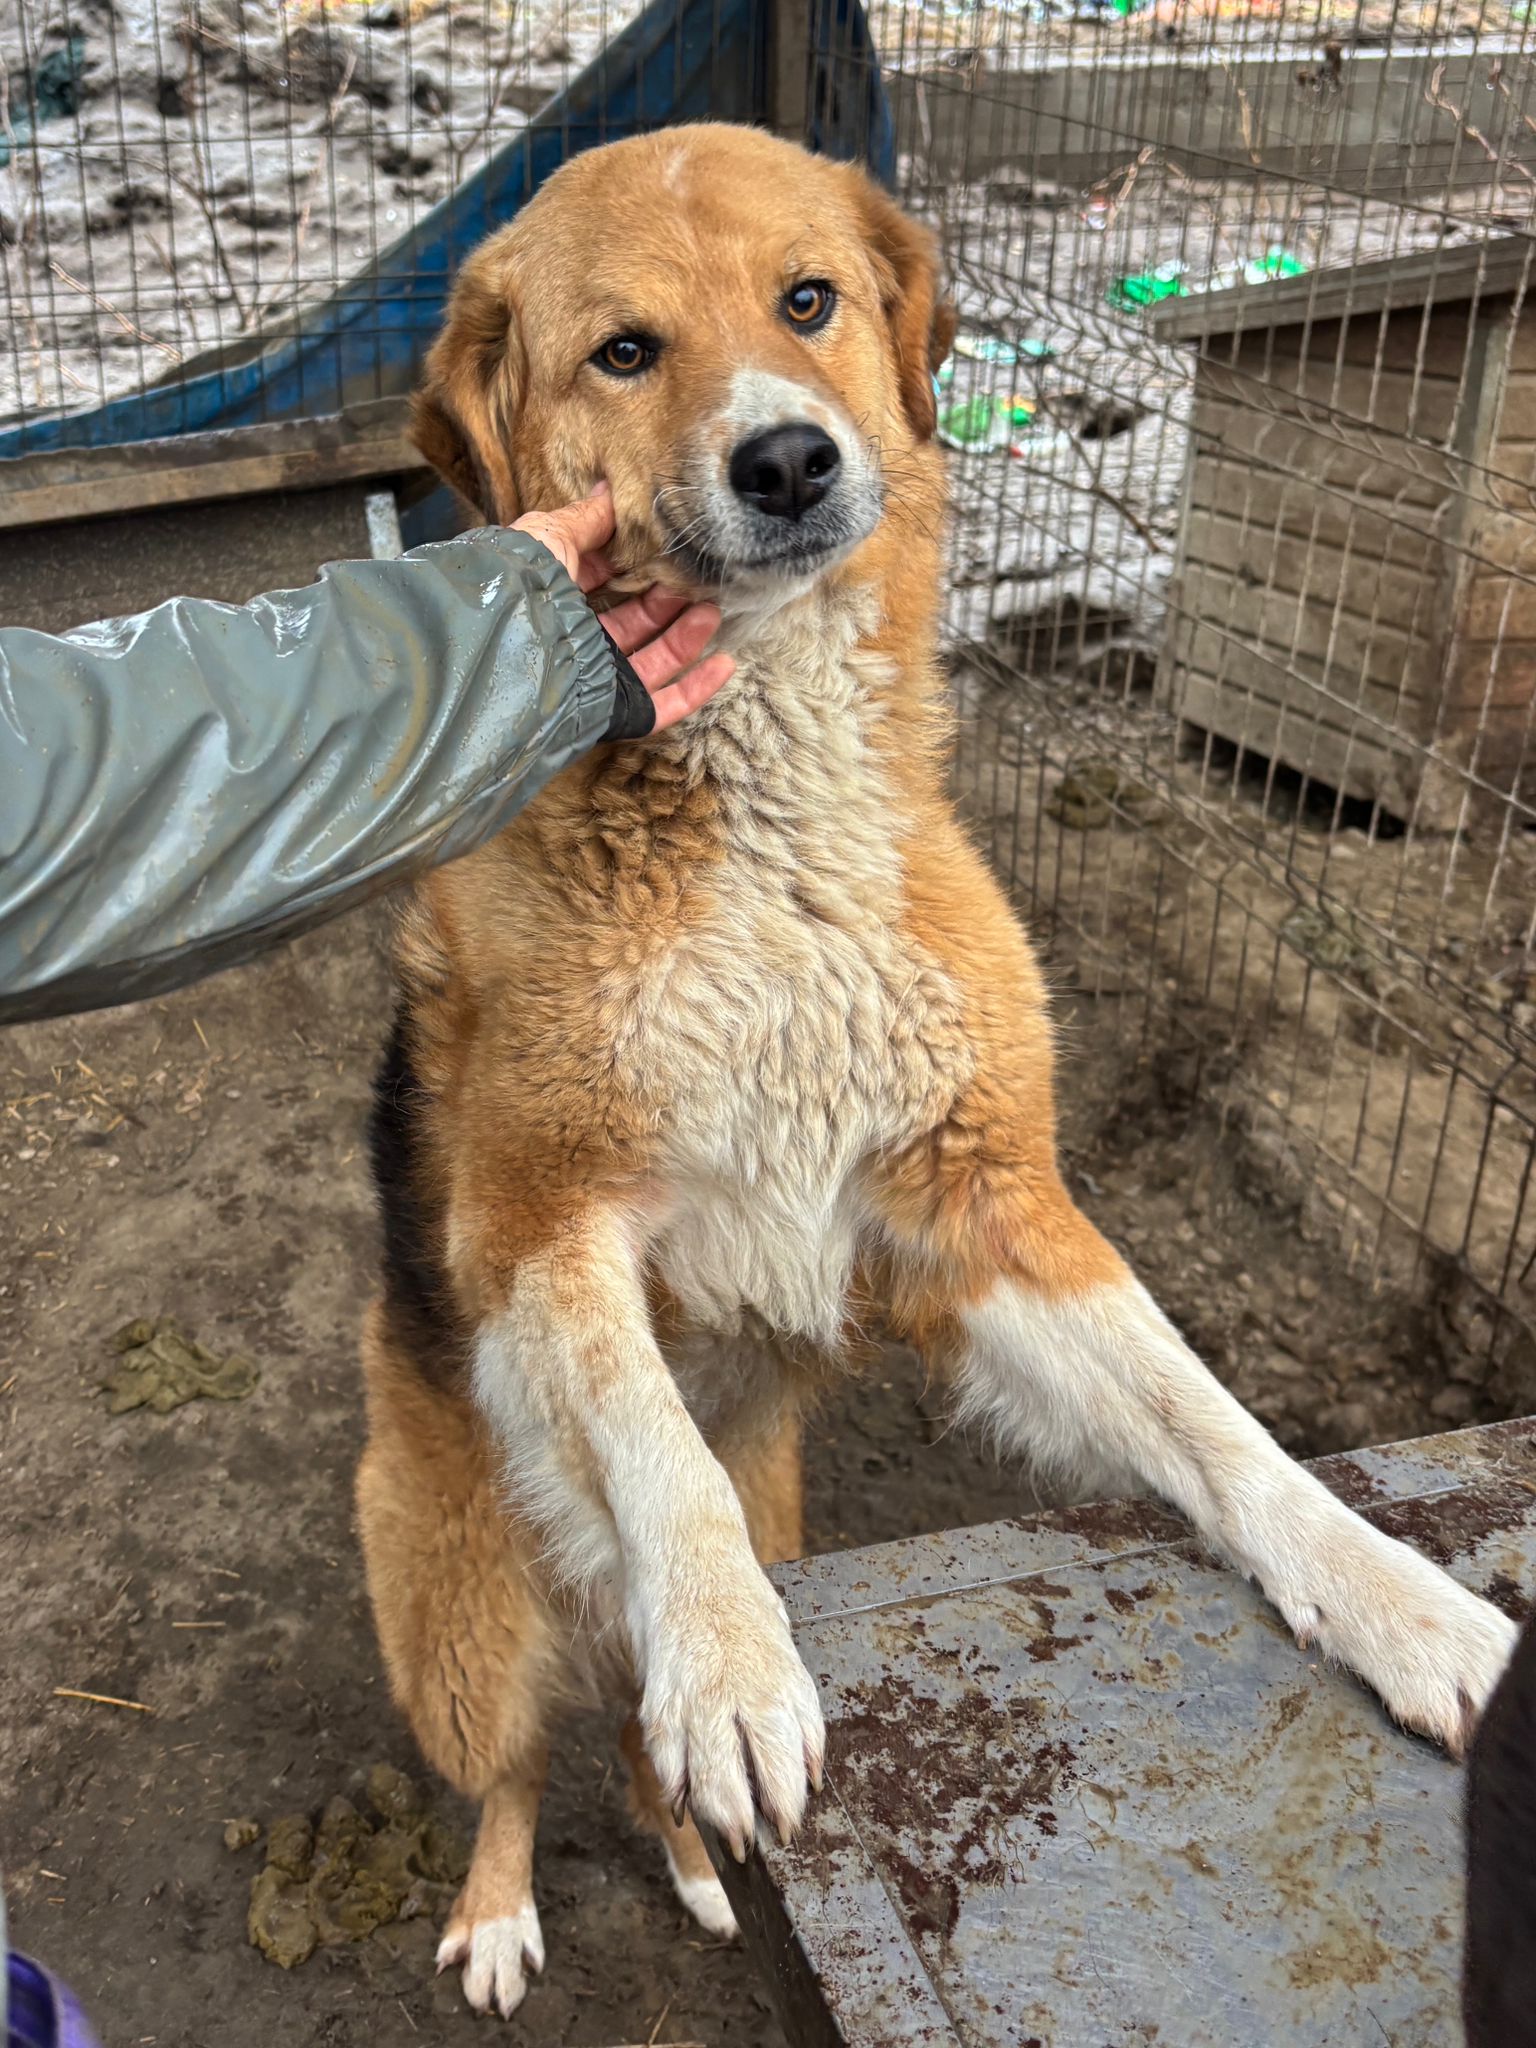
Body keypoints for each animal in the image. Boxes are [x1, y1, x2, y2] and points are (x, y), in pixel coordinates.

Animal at [356, 123, 1517, 2018]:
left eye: (808, 301)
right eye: (624, 350)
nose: (785, 458)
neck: (766, 829)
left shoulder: (977, 1208)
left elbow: (1217, 1423)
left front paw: (1401, 1599)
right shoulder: (531, 1226)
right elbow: (653, 1443)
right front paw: (733, 1664)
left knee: (631, 1745)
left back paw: (698, 1862)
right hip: (459, 1617)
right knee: (522, 1760)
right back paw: (508, 1904)